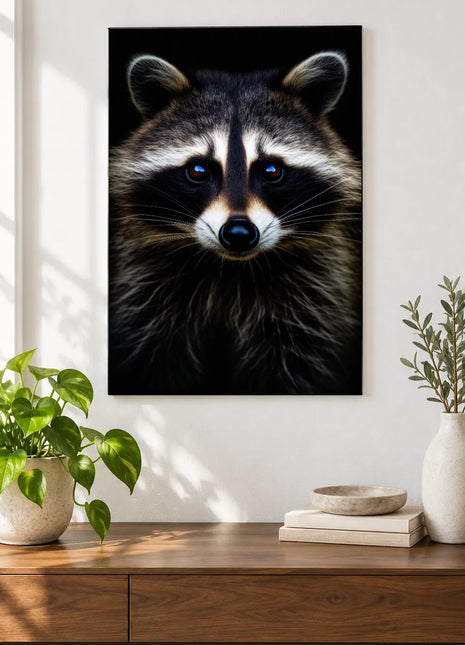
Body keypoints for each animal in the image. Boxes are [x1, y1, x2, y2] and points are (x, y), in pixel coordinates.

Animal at [109, 51, 361, 395]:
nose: (239, 233)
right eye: (199, 170)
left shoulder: (314, 292)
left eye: (271, 170)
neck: (231, 269)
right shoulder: (145, 290)